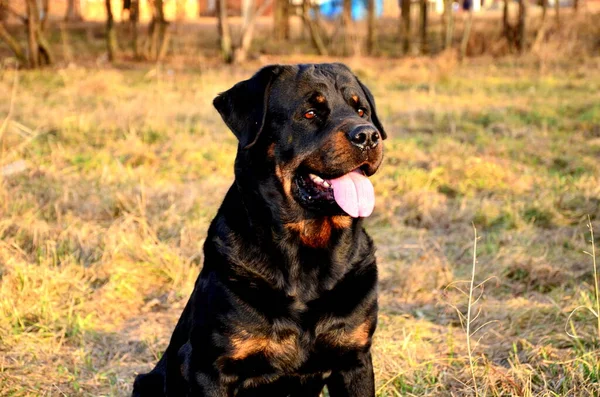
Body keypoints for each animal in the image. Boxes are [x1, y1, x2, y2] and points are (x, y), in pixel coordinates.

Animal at [131, 63, 384, 396]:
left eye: (361, 110)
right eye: (310, 113)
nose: (368, 135)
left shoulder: (354, 359)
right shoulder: (209, 368)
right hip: (146, 382)